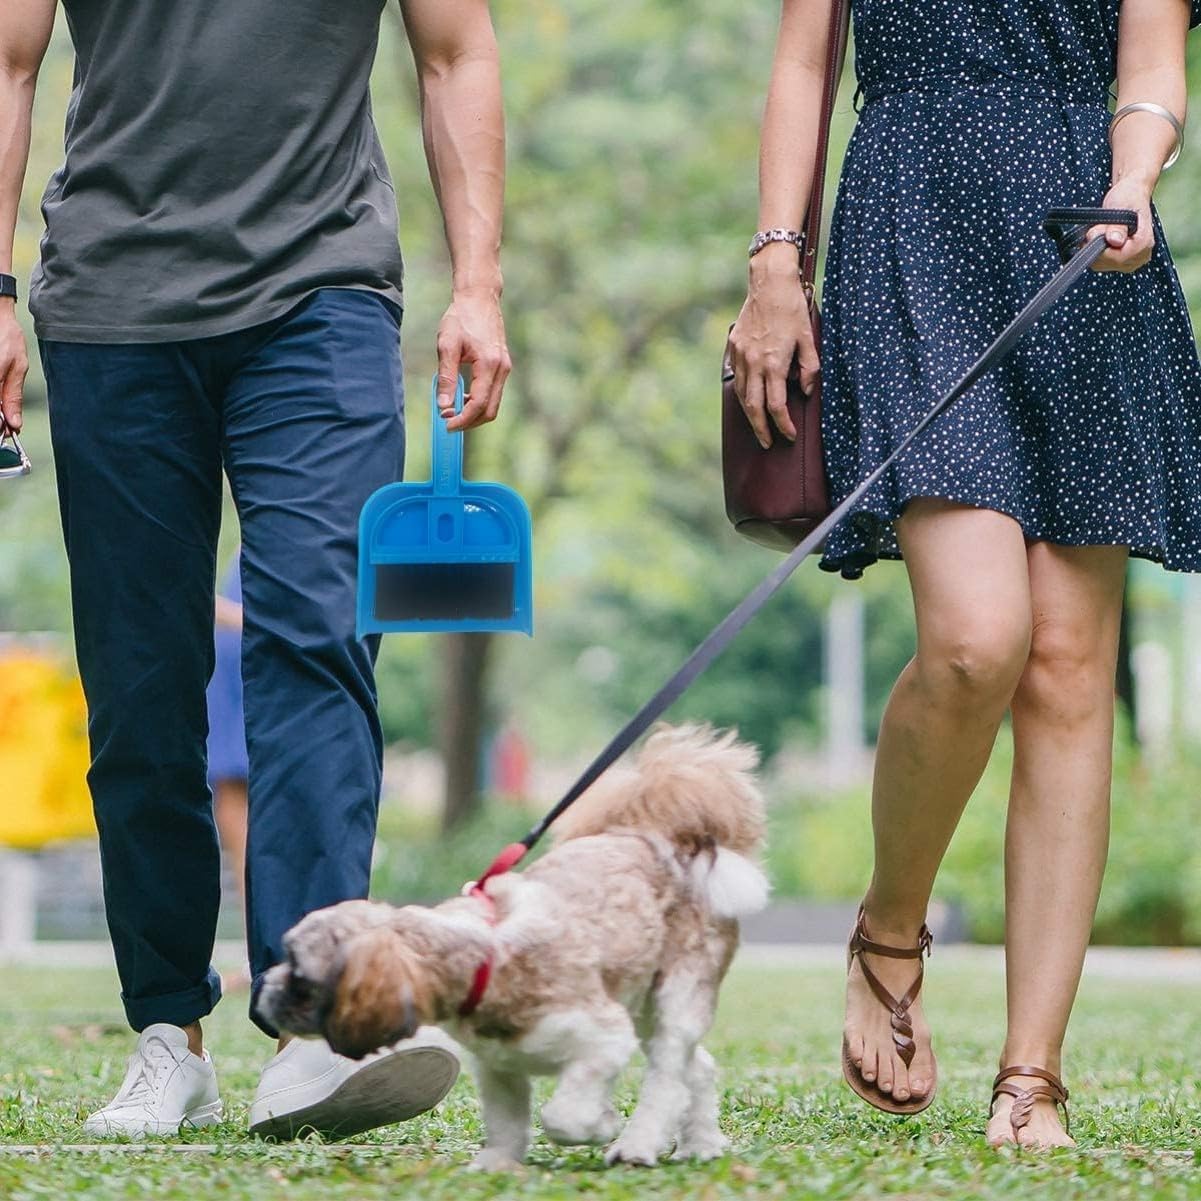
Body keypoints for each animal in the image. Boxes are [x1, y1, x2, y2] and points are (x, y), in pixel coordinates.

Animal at [260, 725, 768, 1167]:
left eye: (300, 974)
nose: (265, 986)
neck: (487, 956)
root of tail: (668, 842)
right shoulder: (499, 1069)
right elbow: (506, 1123)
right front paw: (497, 1164)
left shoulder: (603, 1037)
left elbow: (563, 1115)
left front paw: (600, 1124)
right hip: (642, 1003)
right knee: (696, 1069)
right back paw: (699, 1145)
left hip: (674, 997)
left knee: (667, 1078)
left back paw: (636, 1145)